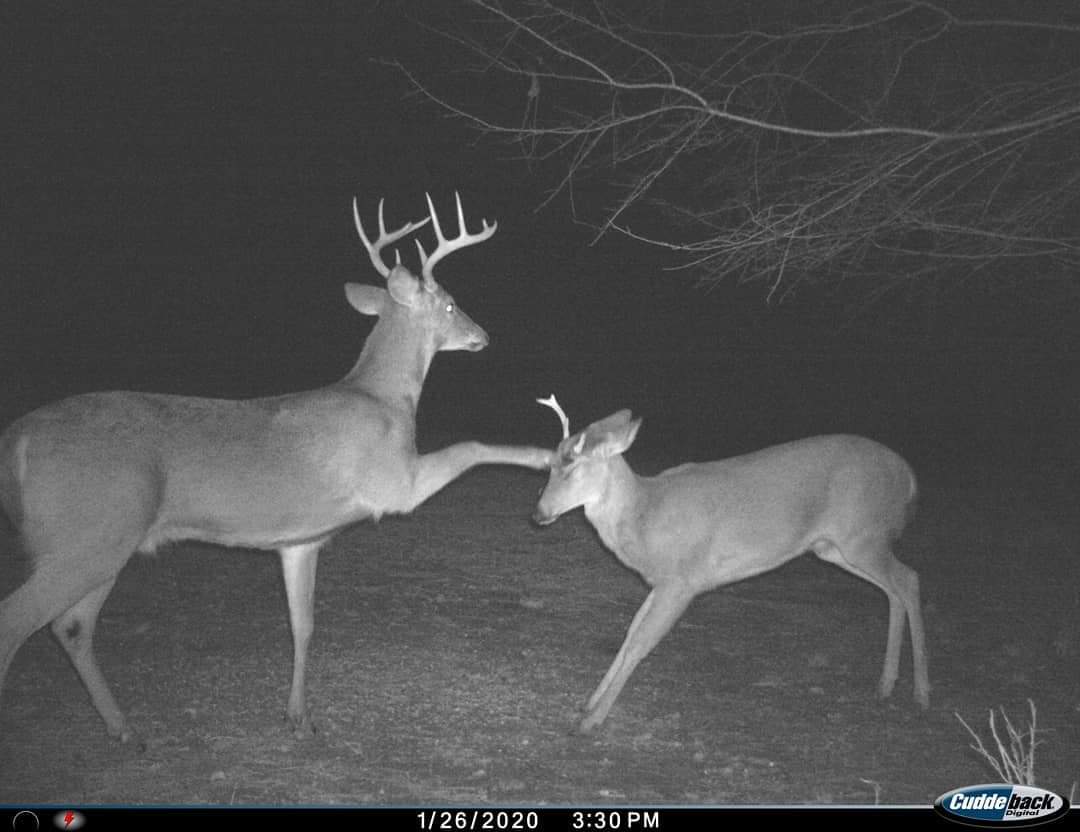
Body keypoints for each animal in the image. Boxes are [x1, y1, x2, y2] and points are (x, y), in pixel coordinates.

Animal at [0, 193, 553, 743]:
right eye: (450, 304)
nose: (483, 335)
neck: (383, 399)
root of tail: (17, 438)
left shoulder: (300, 541)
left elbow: (302, 625)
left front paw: (298, 717)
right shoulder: (394, 483)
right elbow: (471, 446)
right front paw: (548, 457)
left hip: (101, 543)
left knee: (71, 627)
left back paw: (124, 729)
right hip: (89, 533)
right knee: (18, 620)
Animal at [533, 395, 929, 734]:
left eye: (573, 467)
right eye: (550, 466)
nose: (538, 513)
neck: (645, 512)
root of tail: (909, 476)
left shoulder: (682, 579)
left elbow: (641, 641)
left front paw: (592, 720)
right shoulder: (660, 581)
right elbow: (630, 632)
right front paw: (589, 702)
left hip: (863, 535)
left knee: (910, 579)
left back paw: (922, 692)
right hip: (833, 548)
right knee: (895, 589)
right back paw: (886, 684)